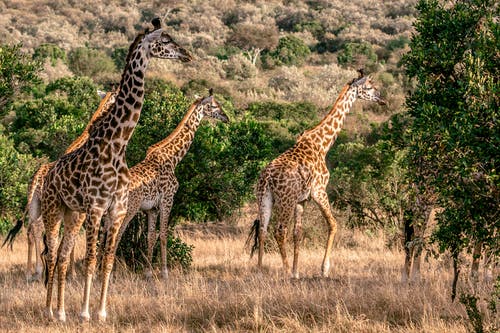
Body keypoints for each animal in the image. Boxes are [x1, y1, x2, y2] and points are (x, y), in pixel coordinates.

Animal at [2, 90, 117, 280]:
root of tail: (36, 179)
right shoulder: (80, 209)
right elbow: (72, 237)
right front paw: (72, 273)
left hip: (34, 206)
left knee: (31, 230)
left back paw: (30, 272)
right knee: (40, 231)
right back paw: (39, 271)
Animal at [39, 18, 190, 322]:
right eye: (165, 41)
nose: (186, 55)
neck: (118, 145)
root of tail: (48, 176)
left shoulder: (117, 209)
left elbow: (107, 261)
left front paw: (101, 312)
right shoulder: (97, 208)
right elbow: (90, 260)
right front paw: (85, 313)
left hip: (73, 214)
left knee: (62, 256)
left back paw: (60, 312)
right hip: (53, 210)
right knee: (50, 253)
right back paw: (49, 309)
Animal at [107, 90, 229, 278]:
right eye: (215, 105)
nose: (226, 117)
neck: (173, 158)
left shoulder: (151, 208)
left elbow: (150, 237)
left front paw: (148, 272)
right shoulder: (167, 199)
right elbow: (163, 235)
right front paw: (164, 272)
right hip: (128, 210)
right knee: (116, 236)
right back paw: (109, 273)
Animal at [248, 70, 384, 278]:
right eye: (369, 87)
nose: (381, 98)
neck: (322, 144)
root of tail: (267, 178)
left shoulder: (302, 200)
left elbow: (298, 233)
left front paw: (297, 272)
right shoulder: (319, 191)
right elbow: (333, 224)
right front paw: (323, 269)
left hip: (264, 197)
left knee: (263, 229)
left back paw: (261, 270)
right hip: (285, 200)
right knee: (279, 230)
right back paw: (284, 271)